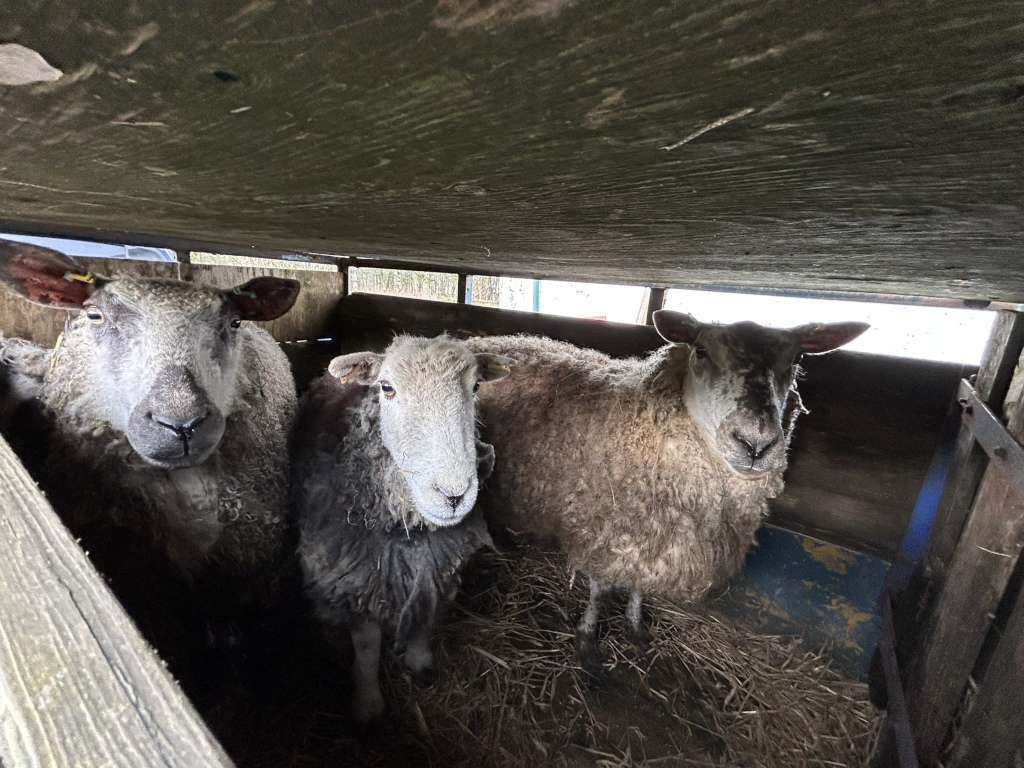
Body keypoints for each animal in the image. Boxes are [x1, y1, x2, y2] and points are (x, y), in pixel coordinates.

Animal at [293, 335, 512, 724]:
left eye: (475, 386)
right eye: (386, 387)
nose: (454, 495)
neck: (408, 532)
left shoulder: (437, 565)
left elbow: (426, 610)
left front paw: (419, 661)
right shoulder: (356, 578)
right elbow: (367, 642)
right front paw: (368, 704)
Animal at [465, 311, 868, 674]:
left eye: (797, 359)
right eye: (701, 350)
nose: (755, 444)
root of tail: (483, 341)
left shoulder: (655, 537)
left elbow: (639, 588)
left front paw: (635, 628)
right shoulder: (604, 529)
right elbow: (601, 590)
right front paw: (588, 641)